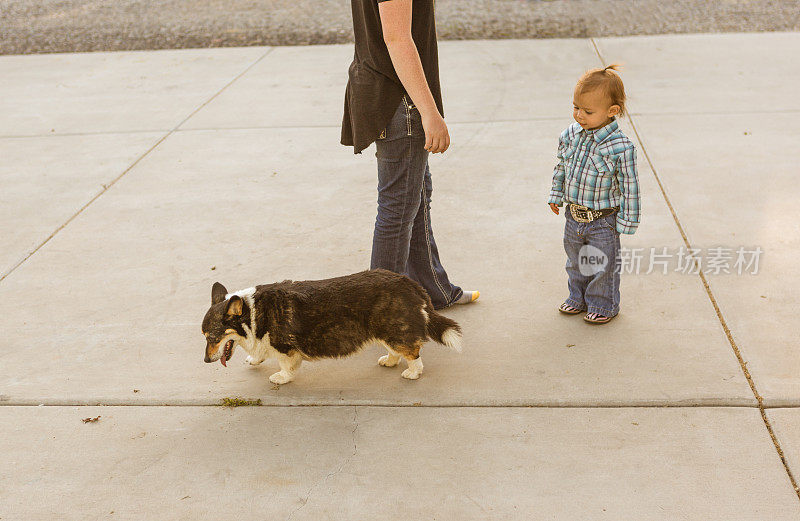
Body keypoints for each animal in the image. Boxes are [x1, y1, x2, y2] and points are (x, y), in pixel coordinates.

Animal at [200, 270, 462, 384]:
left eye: (212, 337)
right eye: (205, 336)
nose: (205, 361)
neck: (251, 314)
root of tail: (410, 283)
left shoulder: (285, 348)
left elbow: (286, 365)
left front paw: (281, 377)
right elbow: (259, 352)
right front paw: (254, 359)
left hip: (393, 329)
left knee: (412, 352)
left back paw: (413, 372)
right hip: (384, 330)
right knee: (396, 350)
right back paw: (389, 361)